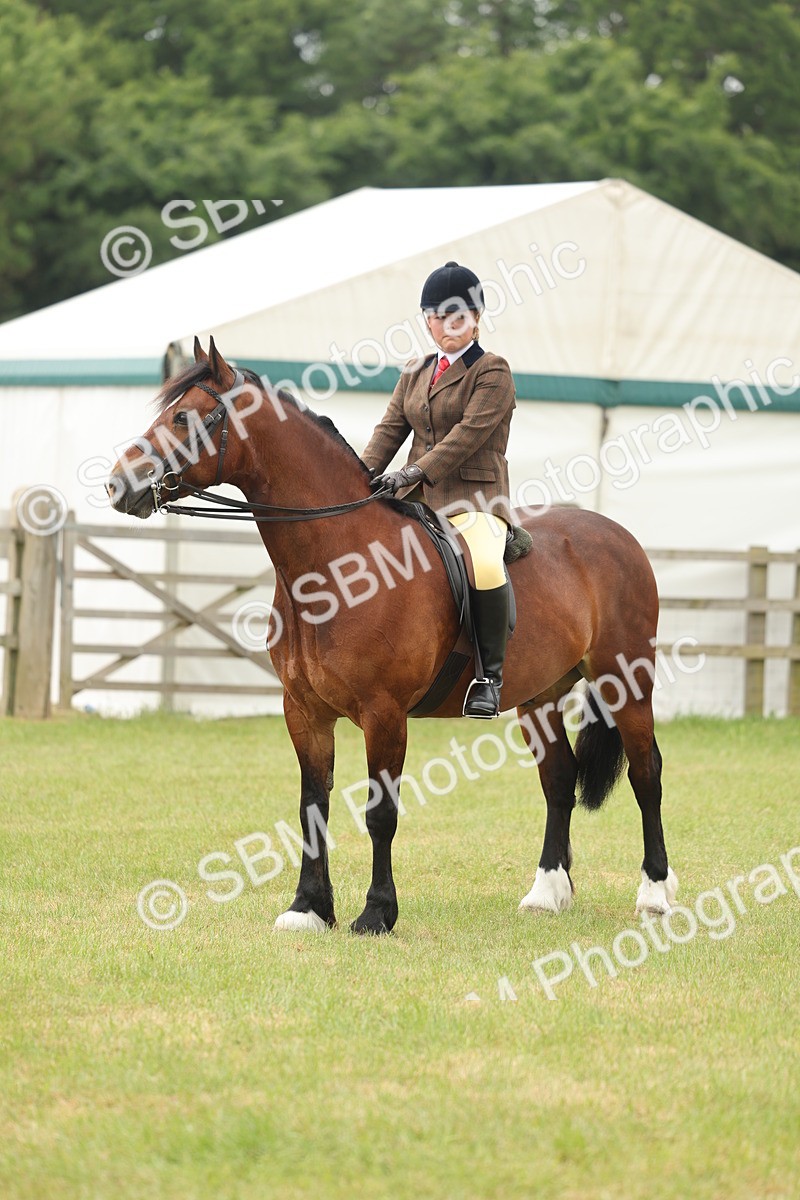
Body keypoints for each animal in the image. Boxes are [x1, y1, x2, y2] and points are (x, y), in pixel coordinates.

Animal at [107, 338, 677, 934]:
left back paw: (656, 894)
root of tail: (616, 533)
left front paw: (376, 912)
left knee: (646, 774)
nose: (117, 484)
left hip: (625, 682)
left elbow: (380, 814)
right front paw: (309, 908)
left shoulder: (384, 713)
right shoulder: (304, 712)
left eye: (185, 417)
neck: (338, 563)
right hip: (540, 696)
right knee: (559, 779)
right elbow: (312, 808)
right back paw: (547, 892)